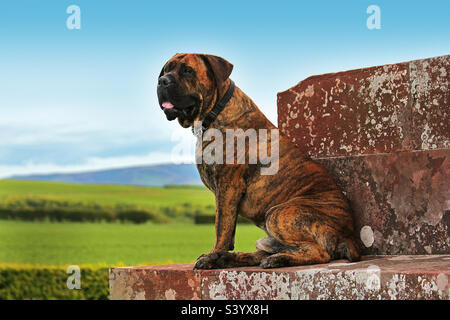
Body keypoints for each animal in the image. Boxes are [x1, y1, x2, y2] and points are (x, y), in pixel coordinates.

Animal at [156, 53, 360, 268]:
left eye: (188, 70)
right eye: (166, 69)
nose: (162, 81)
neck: (214, 113)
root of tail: (349, 235)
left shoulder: (228, 186)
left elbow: (221, 227)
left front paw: (213, 253)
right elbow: (226, 227)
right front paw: (216, 254)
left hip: (279, 214)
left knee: (319, 253)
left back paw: (274, 259)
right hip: (268, 236)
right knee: (263, 253)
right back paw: (231, 258)